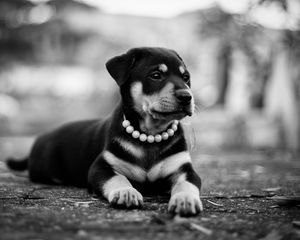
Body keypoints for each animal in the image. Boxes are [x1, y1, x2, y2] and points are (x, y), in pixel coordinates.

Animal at [7, 47, 204, 216]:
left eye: (186, 77)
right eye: (156, 75)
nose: (186, 97)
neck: (150, 134)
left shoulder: (184, 169)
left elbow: (187, 184)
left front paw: (185, 199)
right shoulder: (101, 167)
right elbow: (117, 179)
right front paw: (126, 192)